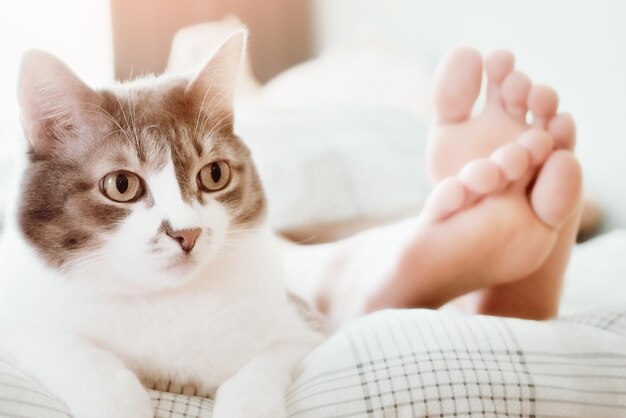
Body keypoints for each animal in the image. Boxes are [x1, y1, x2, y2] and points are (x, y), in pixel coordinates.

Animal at [0, 30, 322, 418]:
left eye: (215, 174)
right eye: (121, 185)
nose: (188, 233)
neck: (163, 298)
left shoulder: (304, 329)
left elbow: (264, 364)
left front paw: (248, 404)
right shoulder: (17, 324)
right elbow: (65, 347)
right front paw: (118, 402)